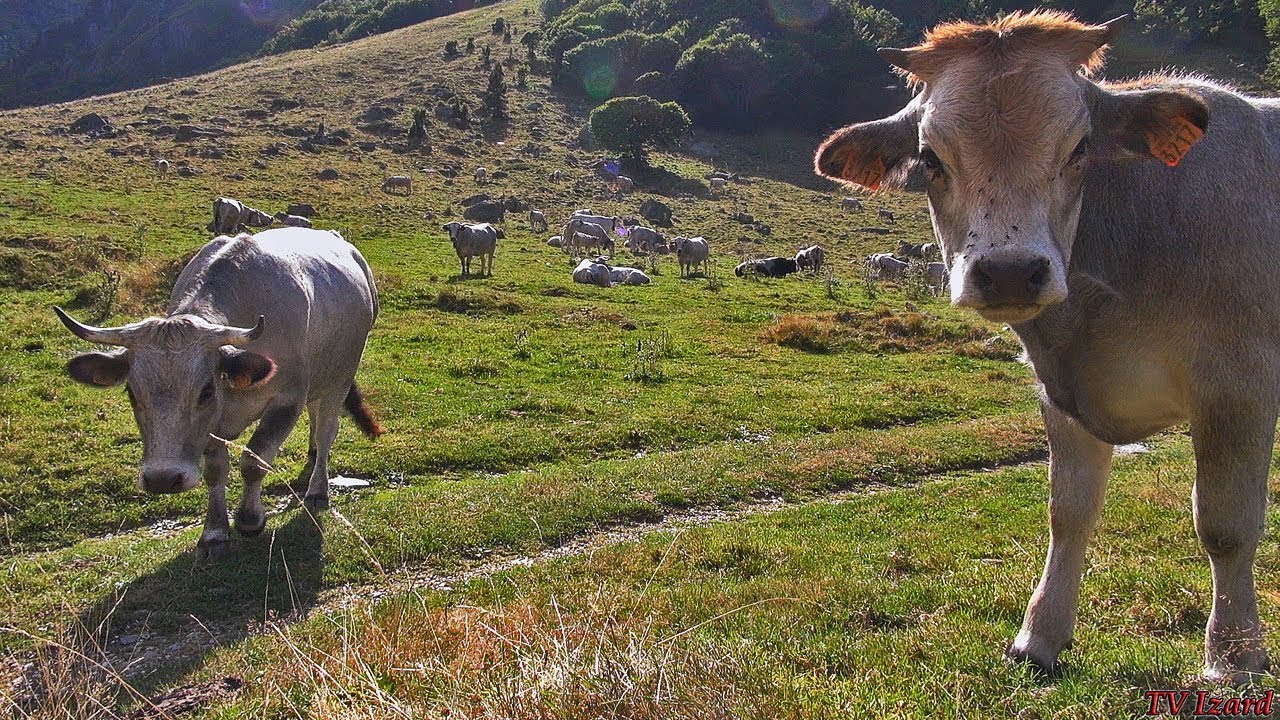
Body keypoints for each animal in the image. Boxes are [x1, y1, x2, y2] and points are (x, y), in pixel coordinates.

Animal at [53, 228, 380, 559]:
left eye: (206, 390)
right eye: (132, 392)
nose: (162, 479)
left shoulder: (287, 399)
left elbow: (254, 460)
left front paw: (250, 519)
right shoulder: (210, 427)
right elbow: (215, 471)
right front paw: (214, 532)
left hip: (340, 376)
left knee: (327, 429)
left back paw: (317, 488)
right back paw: (311, 452)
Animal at [815, 10, 1274, 683]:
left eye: (1080, 147)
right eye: (929, 157)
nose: (1009, 272)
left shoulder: (1238, 382)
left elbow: (1226, 524)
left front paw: (1233, 657)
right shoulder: (1060, 390)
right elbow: (1069, 512)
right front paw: (1040, 637)